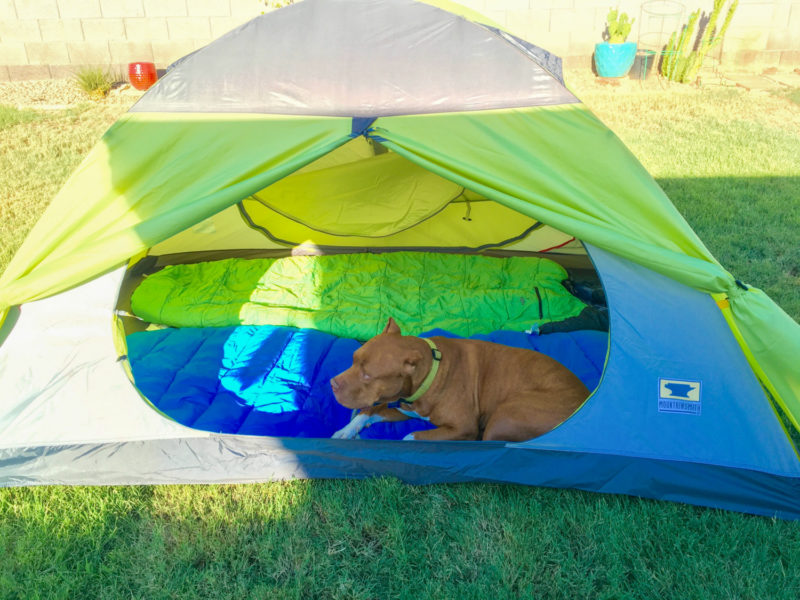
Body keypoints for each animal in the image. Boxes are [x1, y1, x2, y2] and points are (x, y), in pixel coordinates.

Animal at [330, 318, 588, 440]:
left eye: (367, 375)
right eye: (353, 359)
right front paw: (346, 431)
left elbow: (410, 436)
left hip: (506, 415)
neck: (430, 374)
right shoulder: (404, 408)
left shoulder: (463, 428)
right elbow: (369, 411)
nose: (332, 383)